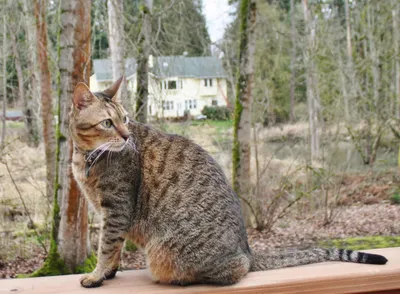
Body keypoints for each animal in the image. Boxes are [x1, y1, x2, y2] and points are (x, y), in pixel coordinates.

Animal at [69, 77, 388, 288]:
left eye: (125, 119)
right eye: (108, 123)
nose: (126, 136)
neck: (85, 157)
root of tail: (246, 248)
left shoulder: (117, 207)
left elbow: (107, 246)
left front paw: (96, 275)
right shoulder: (111, 211)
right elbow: (114, 248)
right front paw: (107, 273)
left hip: (164, 253)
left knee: (237, 270)